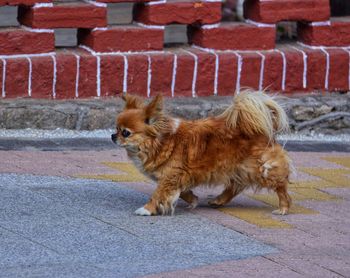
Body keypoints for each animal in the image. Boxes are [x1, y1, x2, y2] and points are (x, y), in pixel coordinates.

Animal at [112, 91, 292, 217]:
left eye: (125, 133)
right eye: (116, 128)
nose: (113, 136)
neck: (161, 141)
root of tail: (257, 128)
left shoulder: (170, 177)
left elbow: (158, 195)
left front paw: (147, 209)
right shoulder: (176, 177)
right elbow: (183, 192)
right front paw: (193, 200)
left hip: (262, 169)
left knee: (280, 186)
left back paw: (283, 208)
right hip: (237, 168)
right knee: (236, 185)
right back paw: (218, 200)